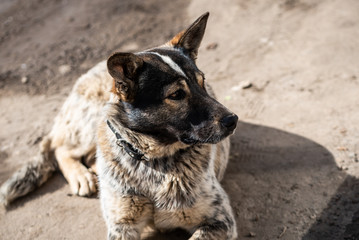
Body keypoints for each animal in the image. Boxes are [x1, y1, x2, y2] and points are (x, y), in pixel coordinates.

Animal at [0, 12, 239, 239]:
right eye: (177, 94)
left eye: (202, 82)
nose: (232, 120)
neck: (154, 161)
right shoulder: (122, 225)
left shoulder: (220, 221)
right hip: (93, 118)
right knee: (61, 148)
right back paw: (81, 176)